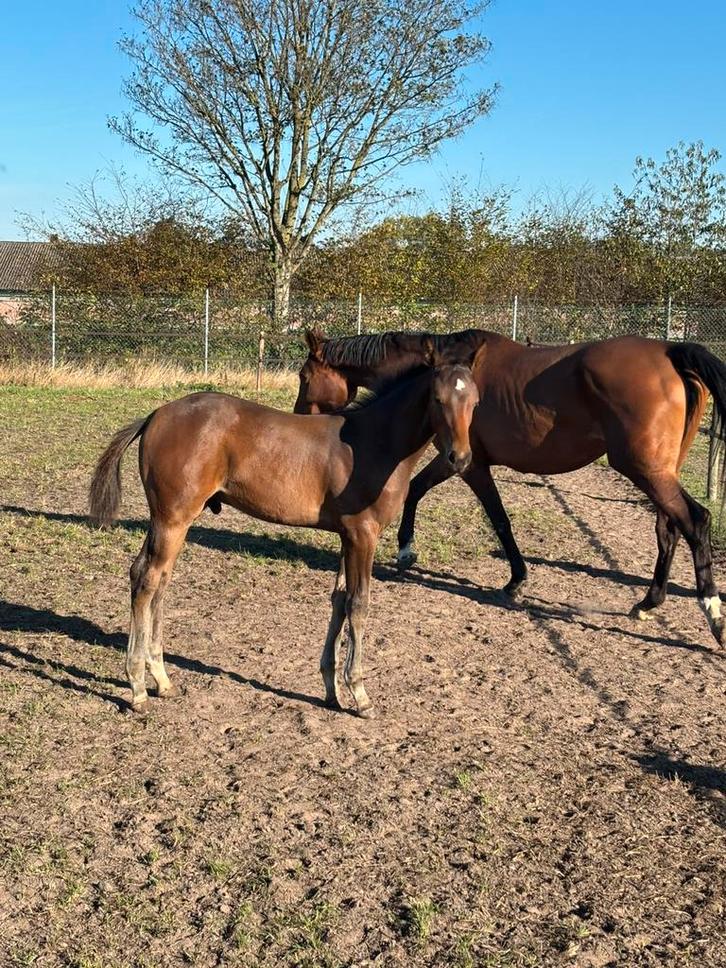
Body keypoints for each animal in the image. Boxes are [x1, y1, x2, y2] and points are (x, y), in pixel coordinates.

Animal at [89, 348, 482, 717]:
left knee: (156, 579)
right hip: (171, 520)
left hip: (172, 522)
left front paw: (331, 690)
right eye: (437, 399)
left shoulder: (346, 536)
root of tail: (156, 415)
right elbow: (358, 604)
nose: (460, 459)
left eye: (475, 401)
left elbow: (338, 600)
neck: (374, 443)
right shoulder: (363, 535)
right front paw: (360, 694)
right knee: (147, 579)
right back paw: (138, 688)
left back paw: (161, 679)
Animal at [294, 327, 726, 647]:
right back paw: (649, 602)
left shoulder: (470, 464)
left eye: (303, 377)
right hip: (659, 471)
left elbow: (499, 519)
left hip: (645, 470)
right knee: (668, 529)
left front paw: (516, 580)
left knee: (695, 521)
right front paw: (406, 550)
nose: (298, 417)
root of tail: (669, 350)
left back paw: (713, 614)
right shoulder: (454, 458)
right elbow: (417, 489)